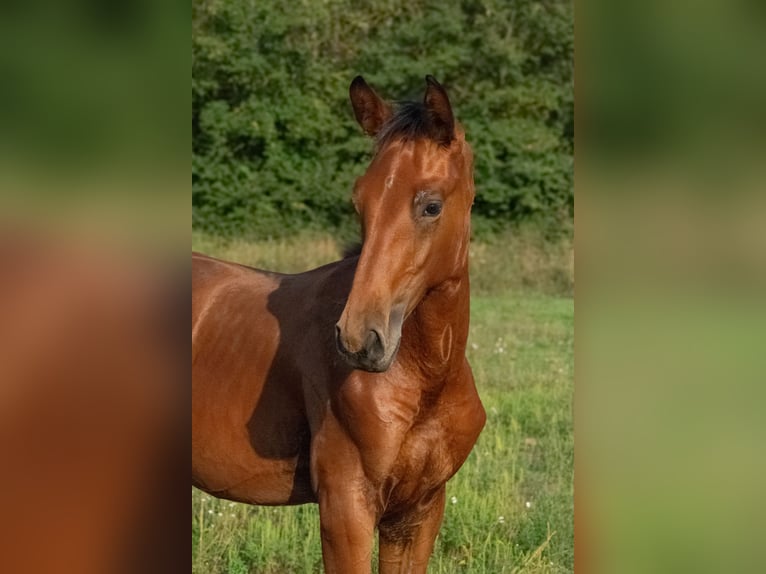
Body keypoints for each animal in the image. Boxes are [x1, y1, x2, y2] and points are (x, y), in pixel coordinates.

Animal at [195, 76, 488, 574]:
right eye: (360, 202)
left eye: (431, 206)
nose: (358, 339)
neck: (425, 380)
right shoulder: (345, 509)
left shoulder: (419, 511)